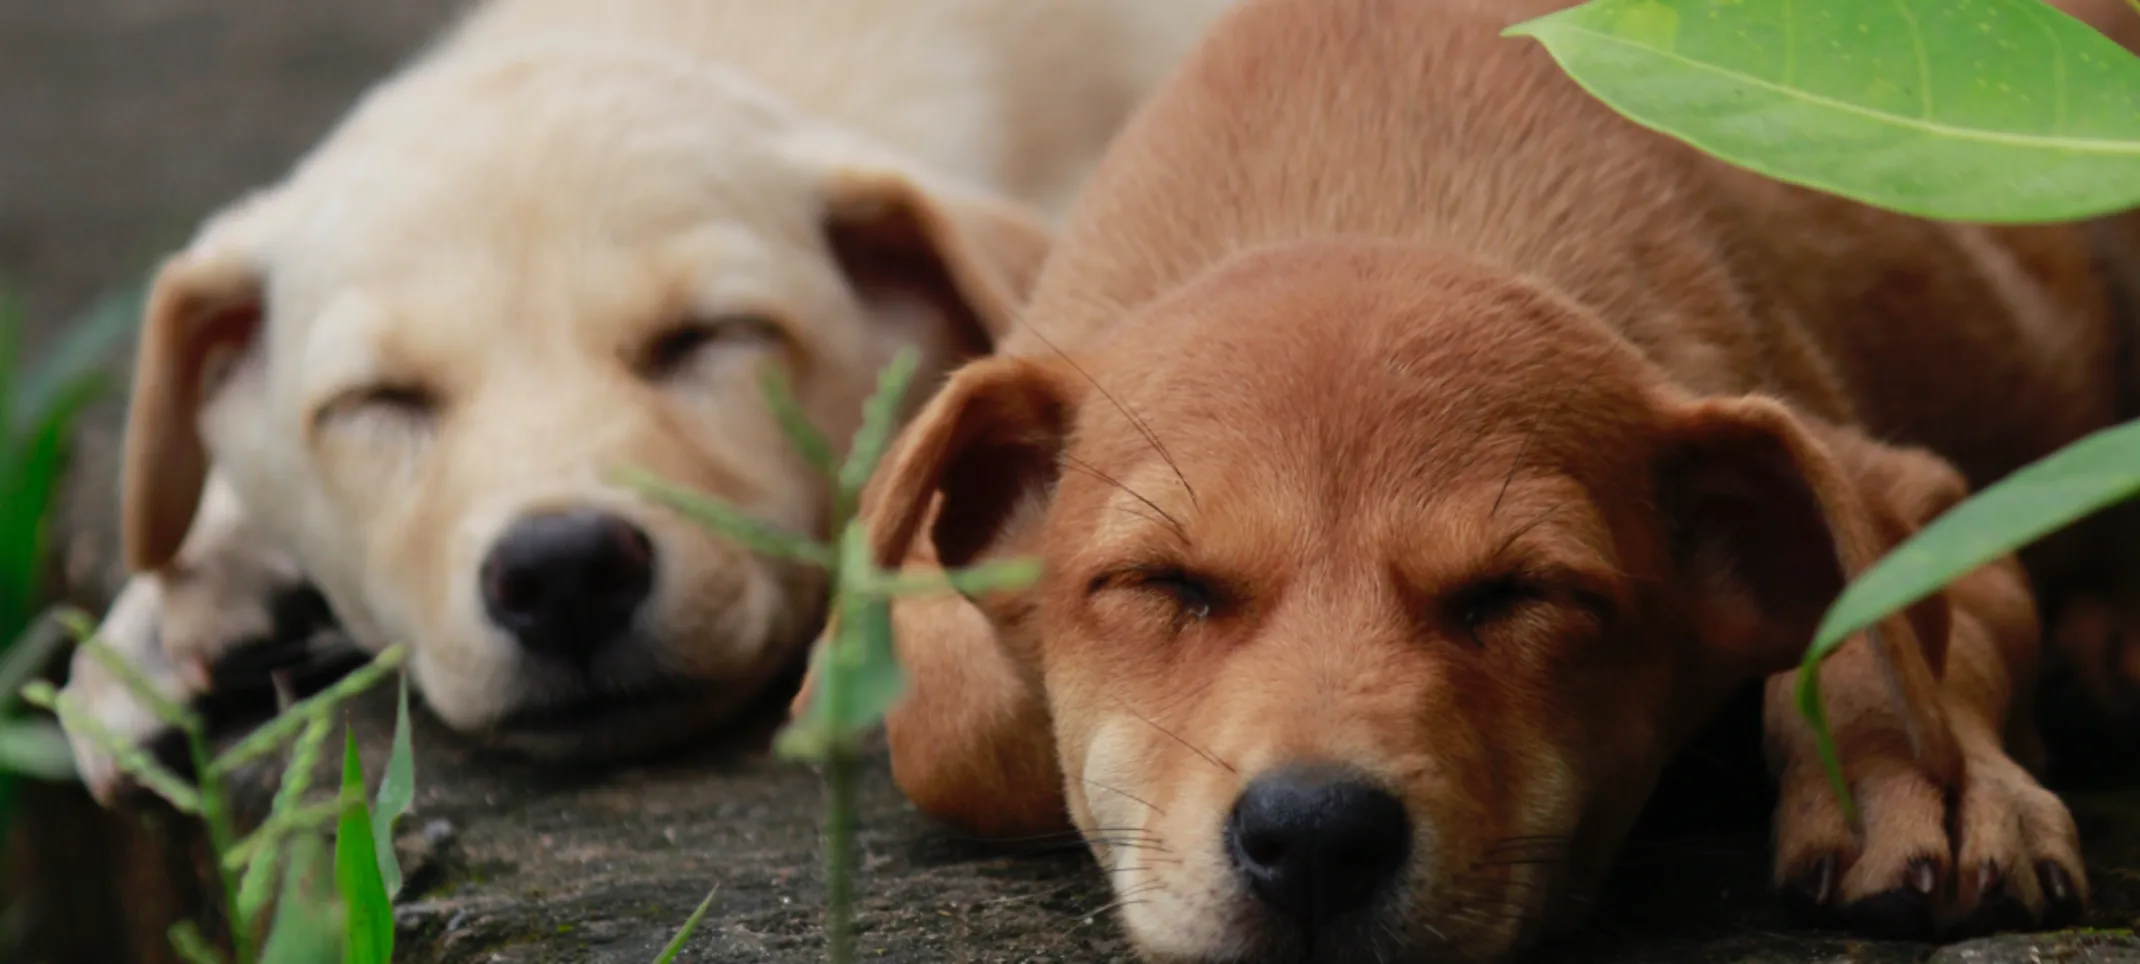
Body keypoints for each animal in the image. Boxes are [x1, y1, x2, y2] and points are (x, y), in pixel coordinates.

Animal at [826, 0, 2140, 955]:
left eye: (1521, 594)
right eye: (1160, 582)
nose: (1315, 838)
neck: (1370, 175)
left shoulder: (1916, 487)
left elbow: (1893, 623)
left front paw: (1935, 779)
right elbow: (962, 723)